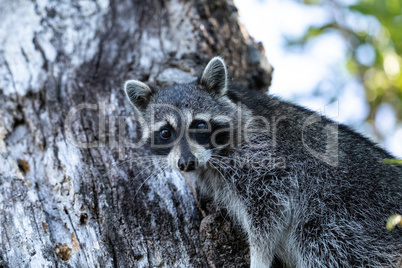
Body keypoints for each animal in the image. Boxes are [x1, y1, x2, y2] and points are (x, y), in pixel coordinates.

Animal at [124, 57, 400, 268]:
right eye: (165, 132)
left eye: (200, 125)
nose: (186, 163)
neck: (213, 159)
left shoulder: (266, 158)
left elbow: (270, 210)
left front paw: (260, 257)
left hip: (349, 215)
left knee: (321, 241)